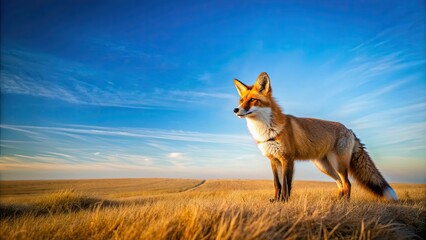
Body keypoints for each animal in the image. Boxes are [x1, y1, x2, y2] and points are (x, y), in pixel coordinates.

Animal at [233, 72, 396, 202]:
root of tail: (349, 129)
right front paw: (276, 201)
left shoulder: (287, 158)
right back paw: (337, 201)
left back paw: (345, 203)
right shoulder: (273, 160)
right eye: (241, 101)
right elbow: (277, 184)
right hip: (325, 166)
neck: (266, 130)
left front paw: (284, 201)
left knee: (347, 184)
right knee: (340, 183)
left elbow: (286, 184)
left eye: (252, 100)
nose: (235, 109)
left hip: (338, 164)